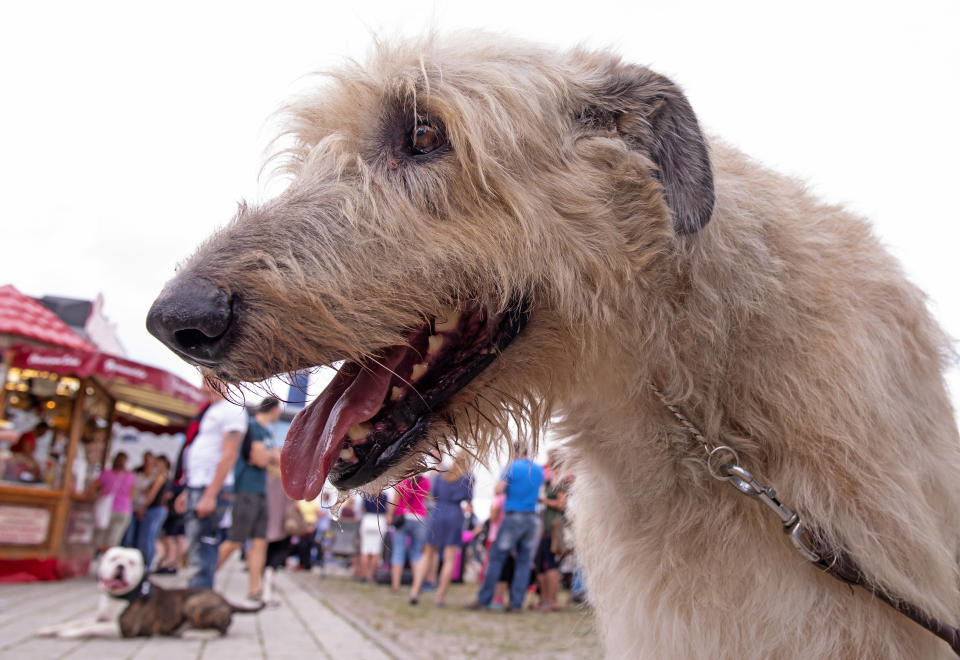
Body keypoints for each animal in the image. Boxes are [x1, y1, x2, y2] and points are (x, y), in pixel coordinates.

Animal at [37, 548, 262, 640]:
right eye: (113, 558)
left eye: (132, 562)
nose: (120, 566)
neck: (119, 597)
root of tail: (226, 601)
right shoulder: (101, 617)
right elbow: (77, 622)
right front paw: (51, 629)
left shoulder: (124, 628)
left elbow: (90, 628)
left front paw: (67, 634)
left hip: (194, 604)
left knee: (222, 629)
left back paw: (195, 634)